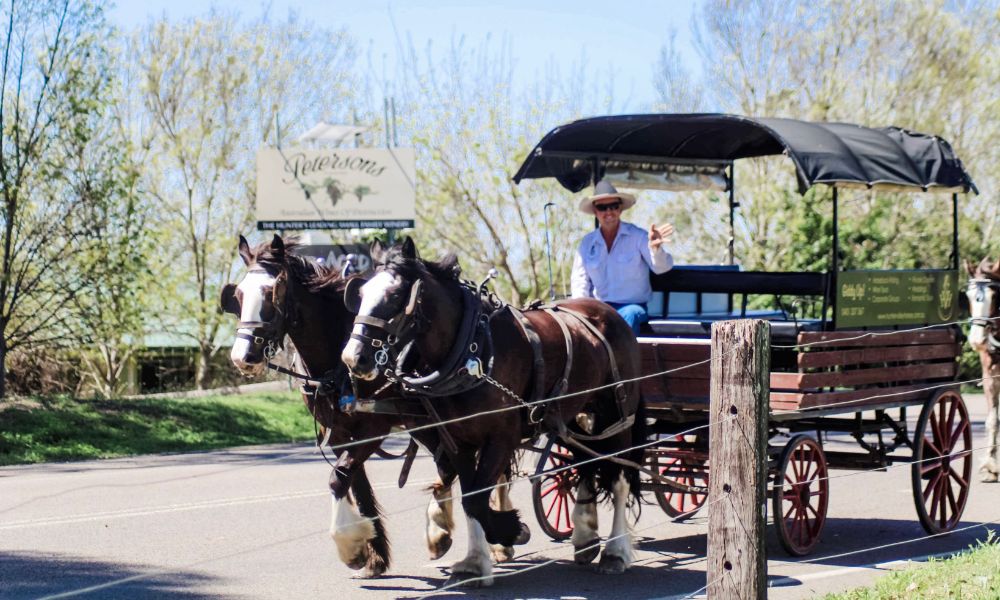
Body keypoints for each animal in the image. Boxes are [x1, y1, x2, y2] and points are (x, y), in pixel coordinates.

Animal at [340, 239, 644, 584]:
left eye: (393, 296)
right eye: (361, 295)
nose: (353, 358)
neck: (472, 348)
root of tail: (610, 313)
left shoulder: (500, 437)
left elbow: (477, 497)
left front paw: (506, 533)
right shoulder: (457, 440)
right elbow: (472, 496)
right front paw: (478, 556)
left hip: (617, 416)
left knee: (619, 476)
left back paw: (615, 552)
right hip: (578, 415)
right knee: (585, 463)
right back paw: (585, 537)